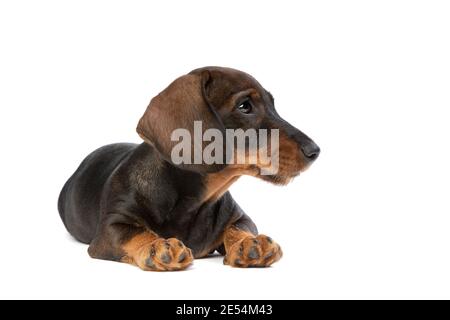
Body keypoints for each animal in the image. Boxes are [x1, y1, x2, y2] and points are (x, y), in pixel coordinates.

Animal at [58, 67, 320, 270]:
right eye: (245, 106)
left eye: (273, 105)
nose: (315, 151)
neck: (192, 202)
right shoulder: (110, 229)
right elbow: (133, 232)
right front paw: (155, 245)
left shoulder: (241, 217)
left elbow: (238, 228)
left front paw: (248, 243)